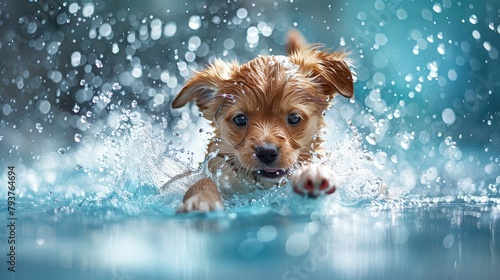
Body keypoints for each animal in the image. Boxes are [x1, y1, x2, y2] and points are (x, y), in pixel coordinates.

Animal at [170, 29, 354, 211]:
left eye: (294, 118)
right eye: (240, 119)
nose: (266, 152)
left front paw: (312, 172)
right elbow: (203, 181)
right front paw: (201, 200)